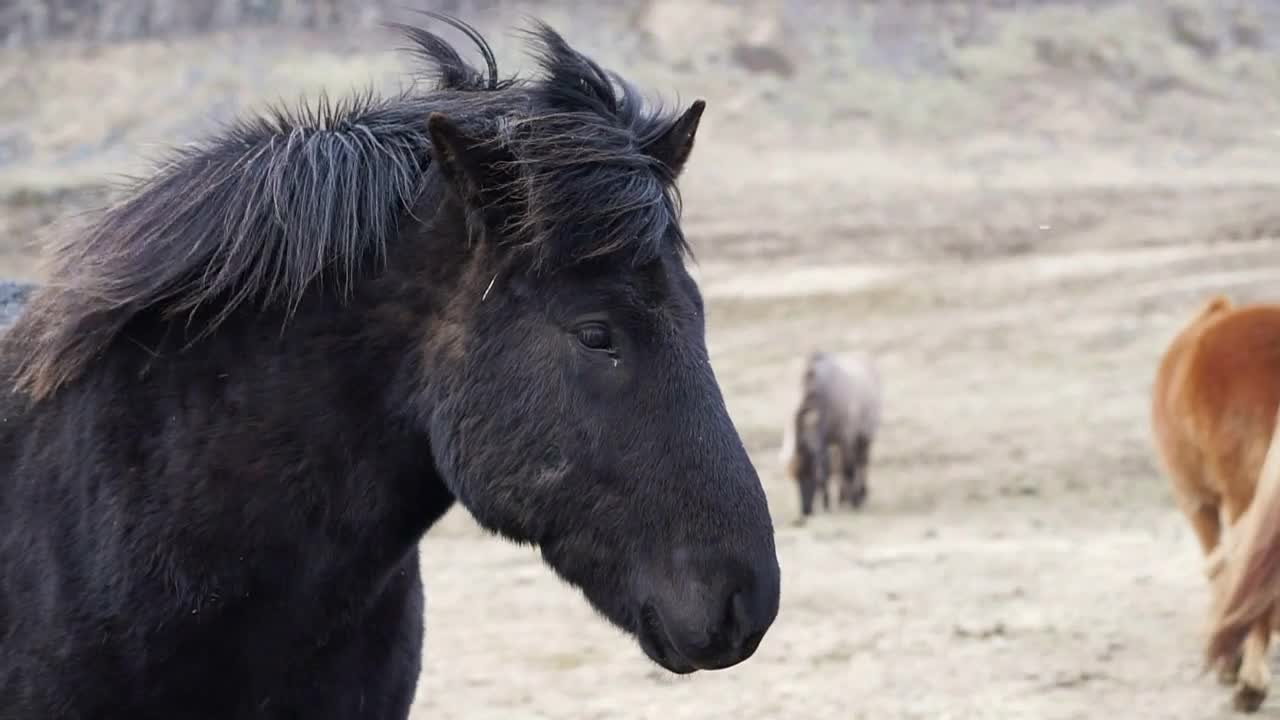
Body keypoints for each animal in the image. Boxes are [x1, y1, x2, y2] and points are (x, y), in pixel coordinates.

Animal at [778, 348, 880, 512]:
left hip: (865, 436)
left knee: (861, 463)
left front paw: (853, 501)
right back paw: (842, 496)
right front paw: (828, 503)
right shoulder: (824, 440)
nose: (806, 510)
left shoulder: (846, 437)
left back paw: (860, 494)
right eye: (795, 478)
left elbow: (848, 469)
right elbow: (828, 469)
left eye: (810, 473)